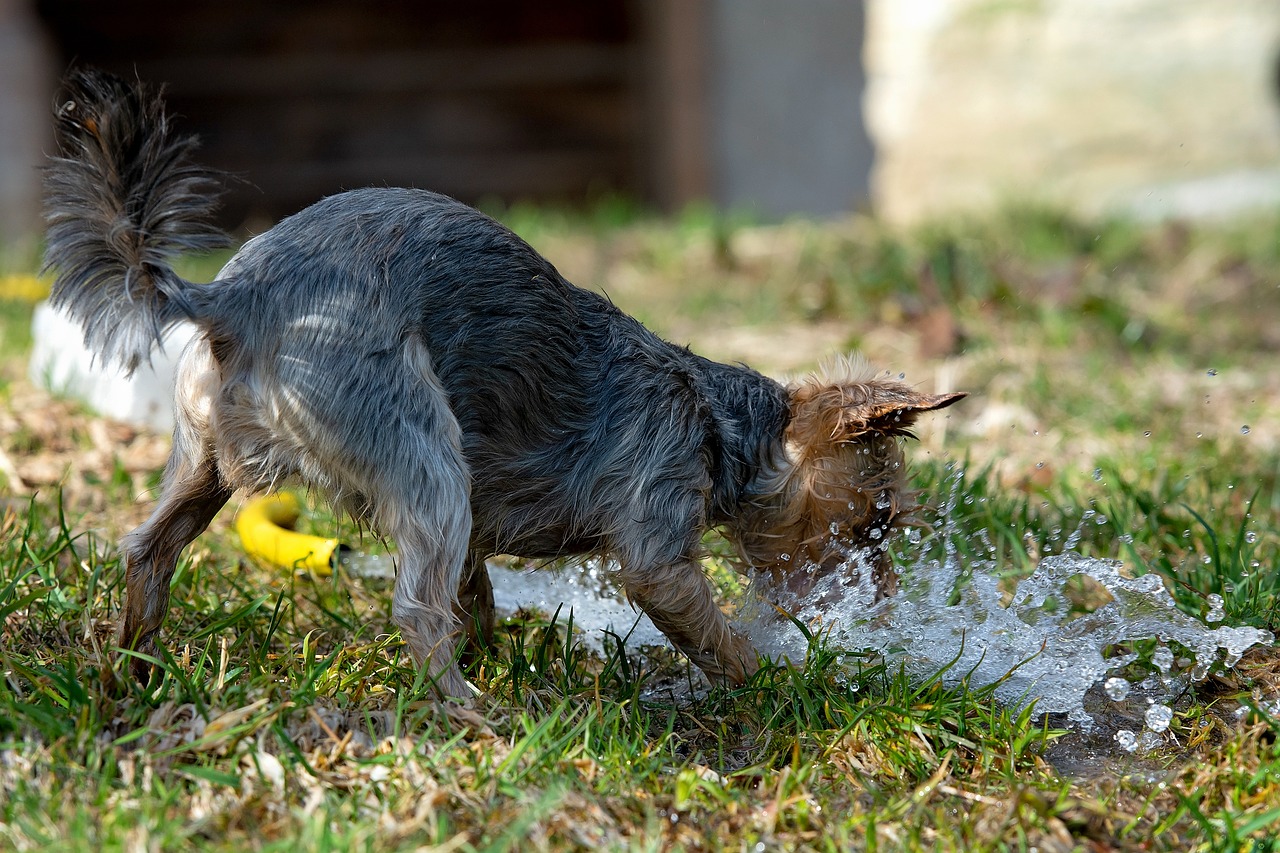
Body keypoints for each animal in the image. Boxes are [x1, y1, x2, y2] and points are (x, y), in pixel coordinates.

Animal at [42, 69, 962, 696]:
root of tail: (234, 299)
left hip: (202, 454)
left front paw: (495, 644)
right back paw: (470, 713)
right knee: (413, 609)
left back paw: (133, 670)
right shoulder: (655, 536)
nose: (883, 608)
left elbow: (473, 591)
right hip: (420, 450)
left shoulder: (484, 523)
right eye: (873, 526)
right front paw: (789, 679)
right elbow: (705, 625)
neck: (715, 420)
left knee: (150, 548)